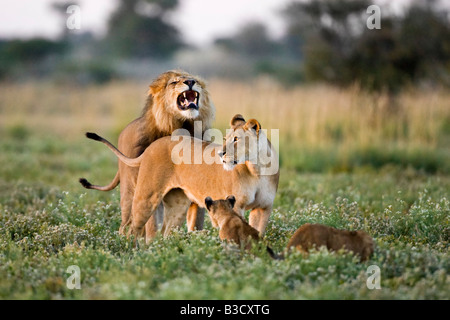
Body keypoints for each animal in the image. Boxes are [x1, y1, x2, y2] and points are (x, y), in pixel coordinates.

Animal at [80, 70, 215, 236]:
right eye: (174, 82)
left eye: (196, 80)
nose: (190, 82)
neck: (181, 126)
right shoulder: (152, 189)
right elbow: (153, 225)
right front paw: (154, 242)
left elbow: (195, 224)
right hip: (130, 191)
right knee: (126, 223)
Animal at [84, 114, 280, 241]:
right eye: (225, 138)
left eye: (237, 139)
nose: (220, 153)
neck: (257, 169)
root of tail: (152, 145)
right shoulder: (237, 205)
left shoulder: (263, 208)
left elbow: (258, 232)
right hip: (146, 196)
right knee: (130, 227)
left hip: (178, 204)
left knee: (165, 232)